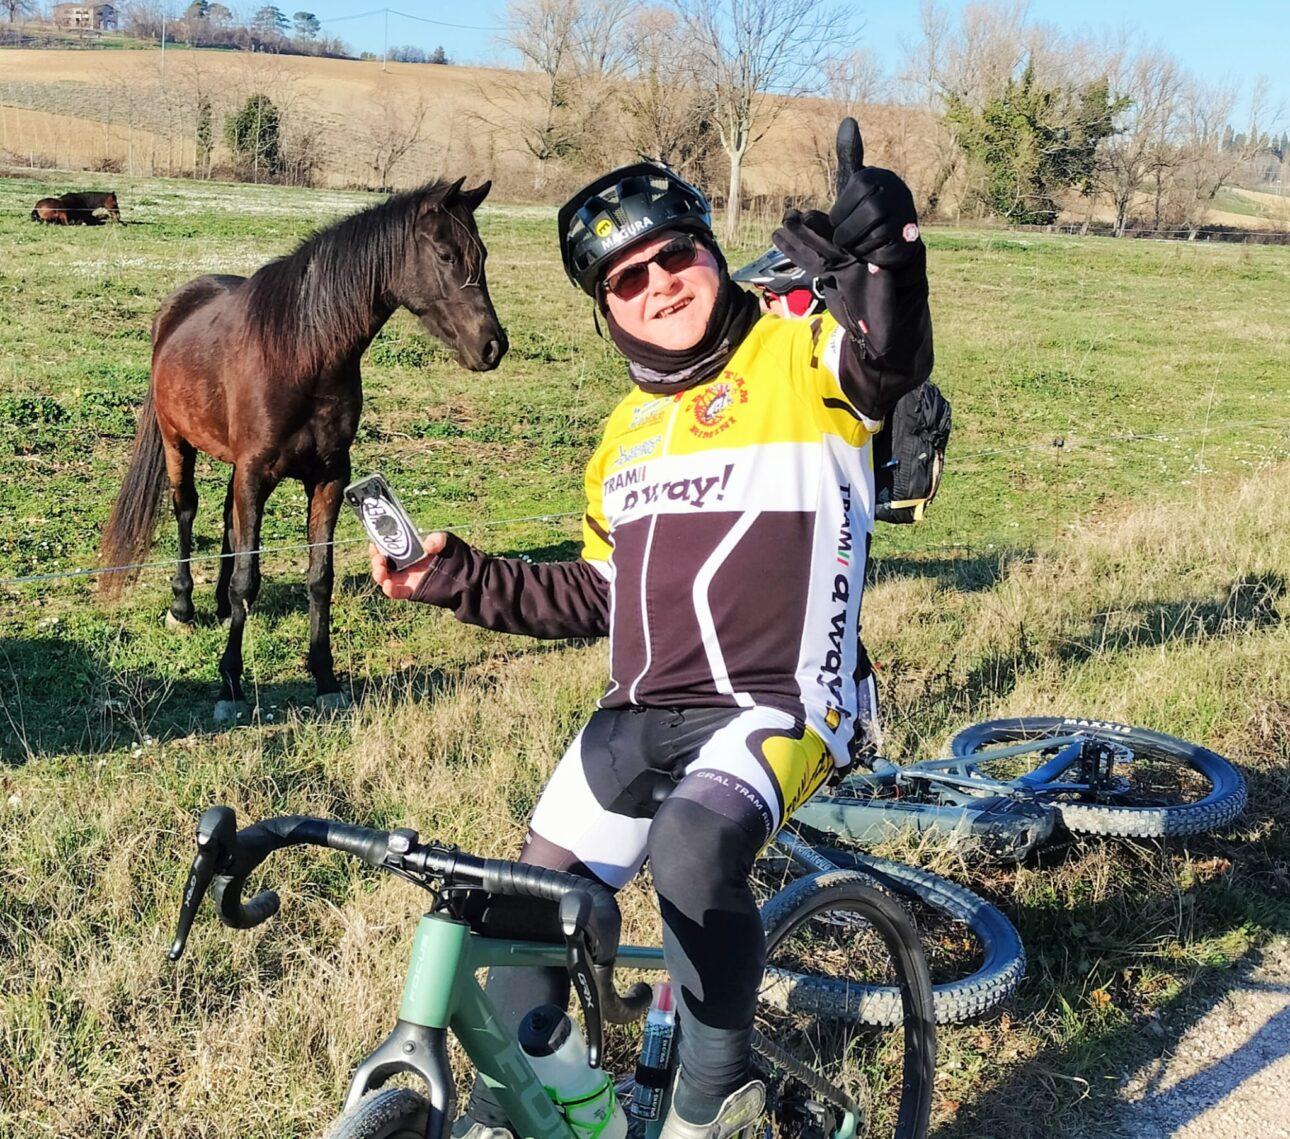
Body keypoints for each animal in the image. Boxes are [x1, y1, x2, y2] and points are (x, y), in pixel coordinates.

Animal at [98, 183, 508, 727]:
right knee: (186, 510)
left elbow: (318, 578)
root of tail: (175, 309)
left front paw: (325, 678)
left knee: (228, 520)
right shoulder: (255, 473)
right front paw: (230, 684)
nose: (492, 346)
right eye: (444, 254)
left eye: (481, 254)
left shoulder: (329, 478)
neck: (303, 352)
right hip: (175, 441)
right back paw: (183, 607)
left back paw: (217, 606)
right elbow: (247, 579)